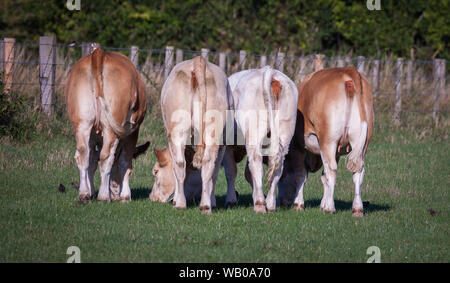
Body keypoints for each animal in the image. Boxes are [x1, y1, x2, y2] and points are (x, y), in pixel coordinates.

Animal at [66, 45, 147, 203]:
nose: (115, 192)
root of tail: (99, 53)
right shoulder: (133, 132)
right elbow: (124, 162)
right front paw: (125, 195)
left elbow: (92, 161)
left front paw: (91, 191)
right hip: (112, 128)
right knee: (106, 156)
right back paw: (104, 196)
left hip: (82, 124)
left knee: (82, 155)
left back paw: (84, 194)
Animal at [276, 67, 374, 217]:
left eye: (280, 177)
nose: (280, 202)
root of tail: (349, 72)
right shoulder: (337, 152)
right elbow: (323, 177)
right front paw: (322, 203)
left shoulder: (298, 146)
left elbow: (301, 175)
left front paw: (300, 204)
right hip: (362, 144)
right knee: (358, 172)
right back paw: (357, 208)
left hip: (328, 141)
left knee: (332, 170)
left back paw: (330, 208)